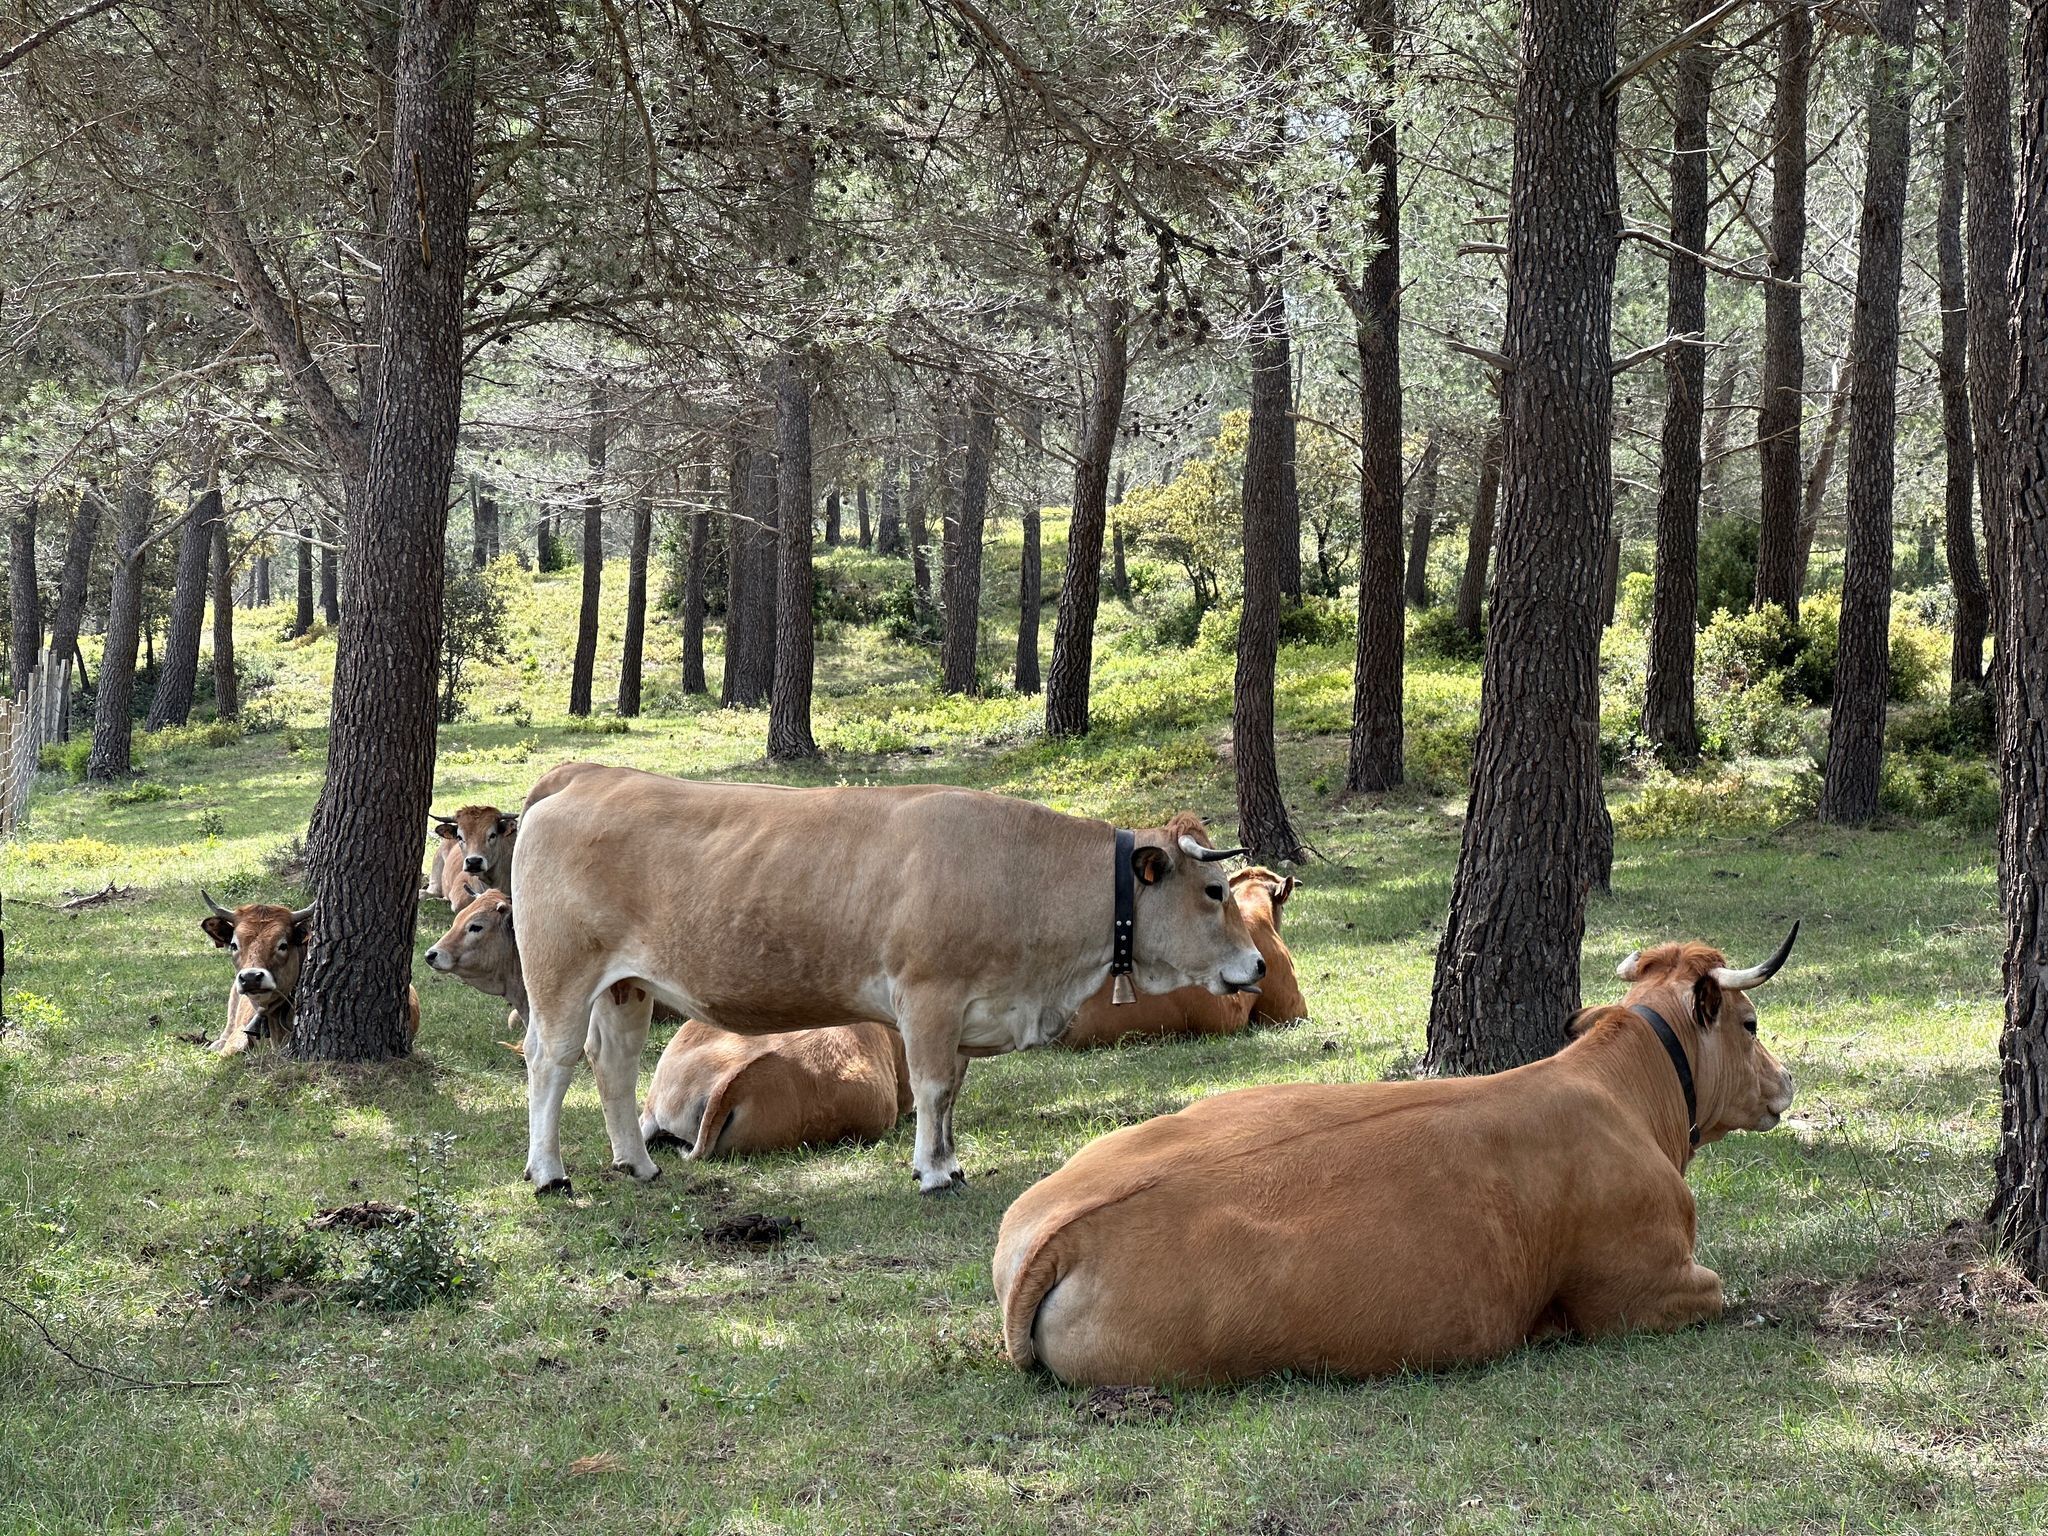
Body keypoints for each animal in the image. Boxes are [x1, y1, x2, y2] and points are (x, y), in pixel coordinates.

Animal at [992, 926, 1801, 1387]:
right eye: (1752, 1023)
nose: (1787, 1081)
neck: (1623, 1089)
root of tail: (1058, 1229)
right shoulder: (1644, 1290)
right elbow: (1720, 1291)